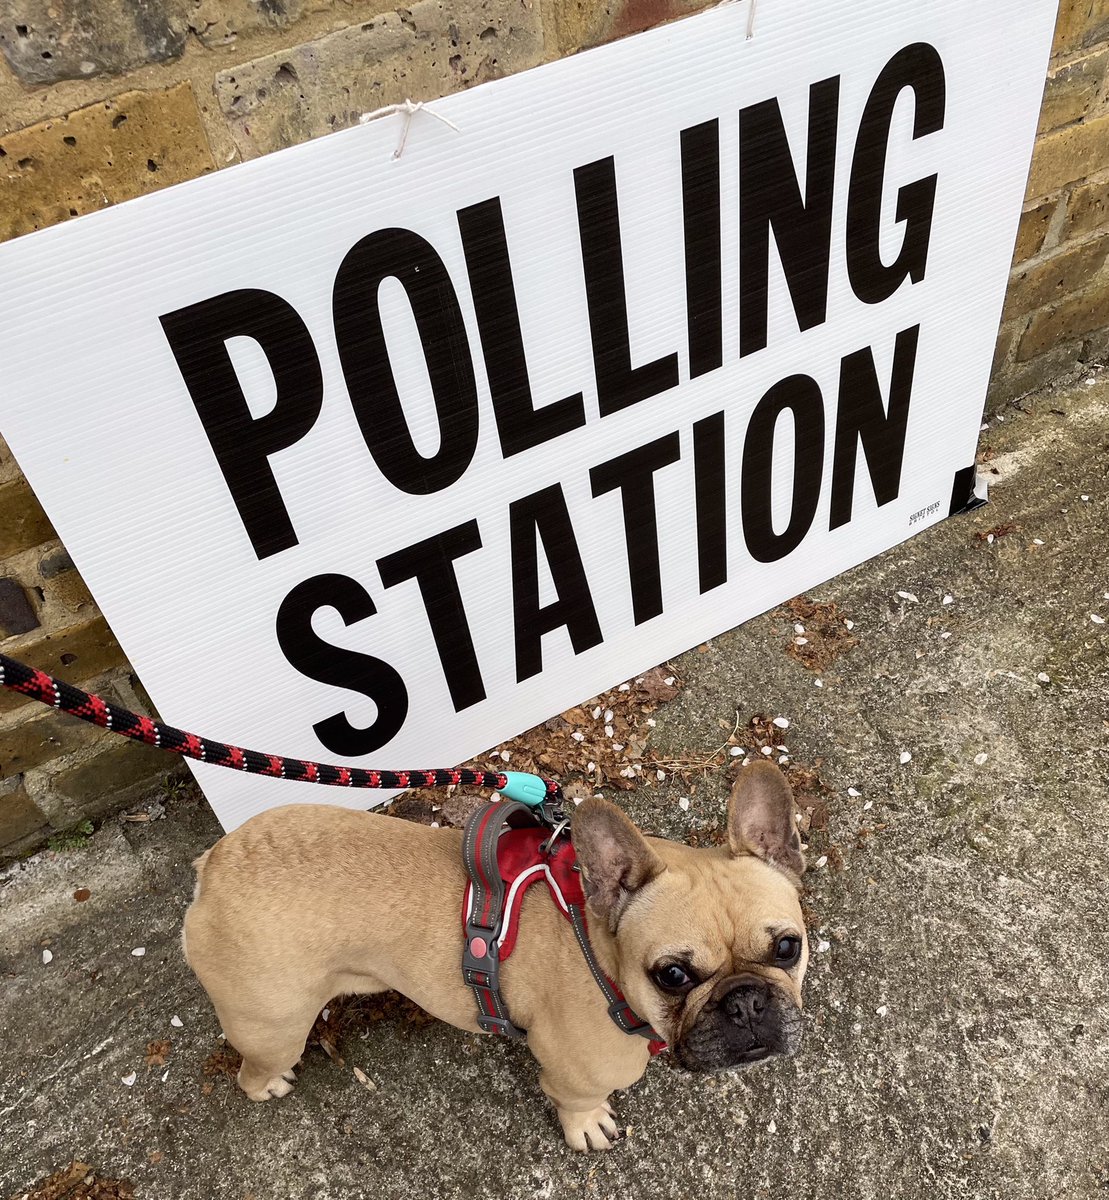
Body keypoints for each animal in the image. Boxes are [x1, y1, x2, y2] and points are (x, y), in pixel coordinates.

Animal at [182, 763, 806, 1147]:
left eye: (787, 947)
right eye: (673, 974)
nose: (747, 1002)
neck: (602, 957)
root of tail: (214, 869)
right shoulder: (574, 1071)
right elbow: (576, 1100)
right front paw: (587, 1125)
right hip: (272, 1024)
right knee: (254, 1065)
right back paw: (267, 1084)